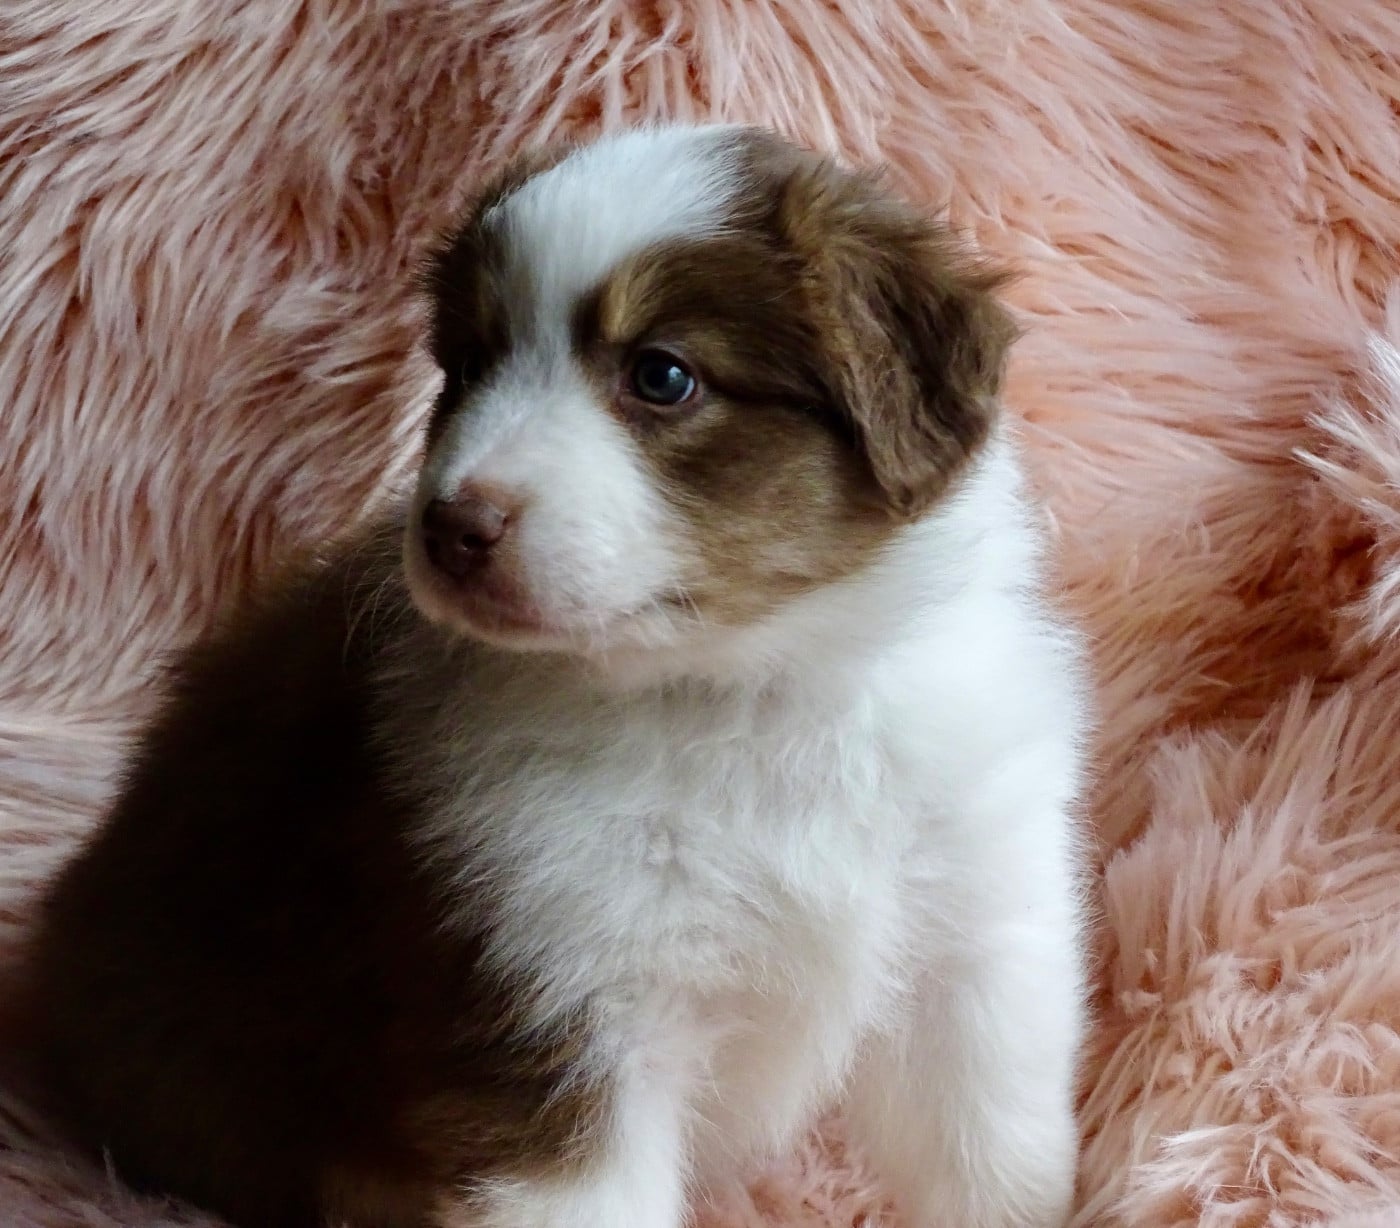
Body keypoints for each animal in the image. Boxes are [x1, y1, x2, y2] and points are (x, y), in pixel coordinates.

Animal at [24, 124, 1090, 1228]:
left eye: (661, 376)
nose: (450, 528)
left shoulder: (975, 950)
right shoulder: (557, 1006)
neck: (749, 696)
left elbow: (990, 1158)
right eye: (468, 362)